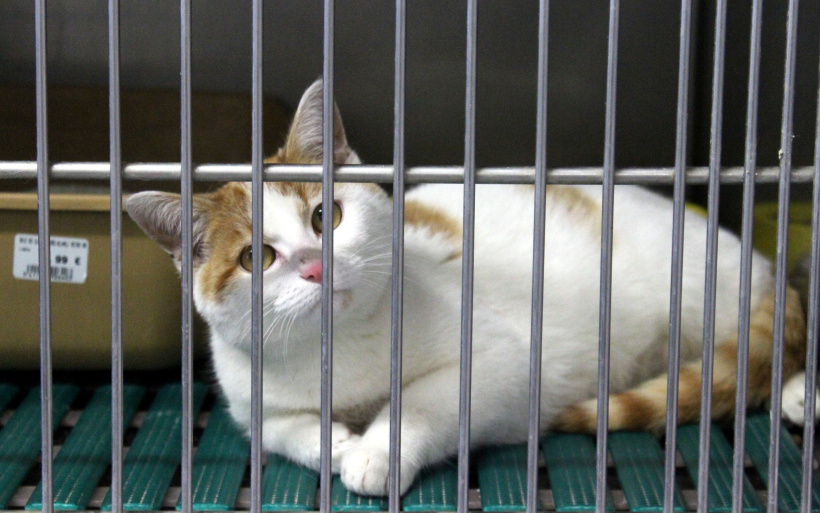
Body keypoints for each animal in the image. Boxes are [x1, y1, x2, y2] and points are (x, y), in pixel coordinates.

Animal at [126, 81, 808, 496]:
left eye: (327, 217)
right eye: (256, 258)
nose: (316, 266)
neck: (339, 358)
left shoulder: (502, 360)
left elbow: (425, 400)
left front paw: (375, 451)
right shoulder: (250, 398)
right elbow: (280, 428)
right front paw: (333, 441)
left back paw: (800, 390)